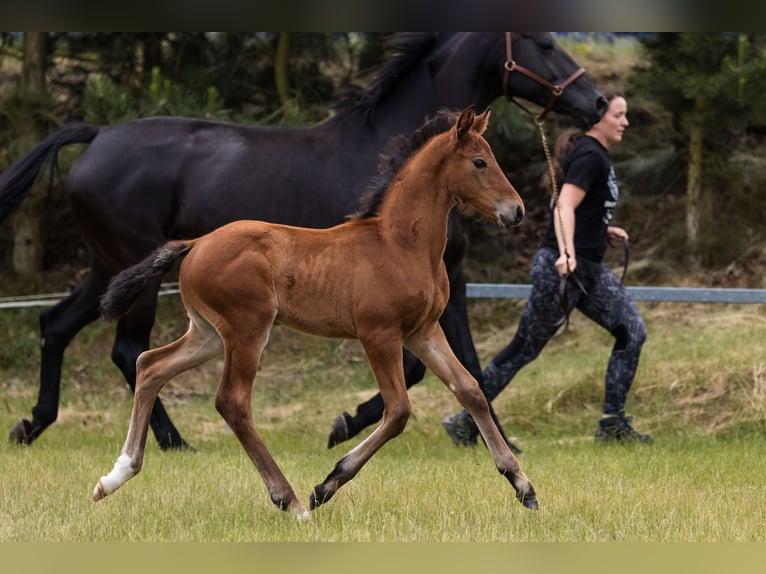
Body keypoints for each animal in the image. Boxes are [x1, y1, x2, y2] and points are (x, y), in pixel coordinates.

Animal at [0, 33, 606, 451]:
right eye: (545, 43)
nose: (598, 102)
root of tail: (97, 133)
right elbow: (437, 368)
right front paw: (347, 426)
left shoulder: (447, 284)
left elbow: (466, 367)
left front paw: (490, 439)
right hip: (136, 270)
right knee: (128, 350)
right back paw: (174, 442)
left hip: (110, 268)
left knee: (56, 324)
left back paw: (32, 424)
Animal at [92, 106, 538, 517]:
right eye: (479, 162)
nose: (516, 210)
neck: (400, 244)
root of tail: (195, 243)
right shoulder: (379, 335)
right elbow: (398, 411)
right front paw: (327, 484)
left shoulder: (423, 331)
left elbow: (470, 390)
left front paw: (523, 486)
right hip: (246, 330)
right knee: (231, 401)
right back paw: (290, 501)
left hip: (208, 334)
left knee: (151, 365)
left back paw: (115, 476)